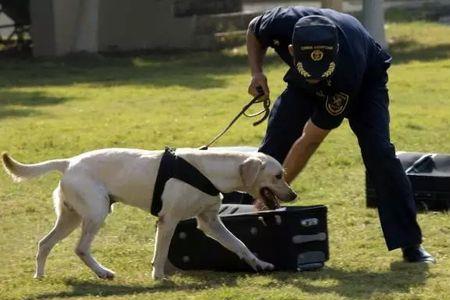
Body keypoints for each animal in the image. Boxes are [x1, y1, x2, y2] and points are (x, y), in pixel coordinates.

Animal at [2, 149, 298, 280]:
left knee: (44, 243)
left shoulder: (210, 222)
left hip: (70, 218)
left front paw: (260, 264)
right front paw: (158, 277)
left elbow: (240, 244)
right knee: (80, 248)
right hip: (96, 214)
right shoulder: (169, 220)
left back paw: (39, 276)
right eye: (278, 176)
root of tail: (68, 162)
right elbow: (161, 252)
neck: (209, 171)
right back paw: (102, 272)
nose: (294, 195)